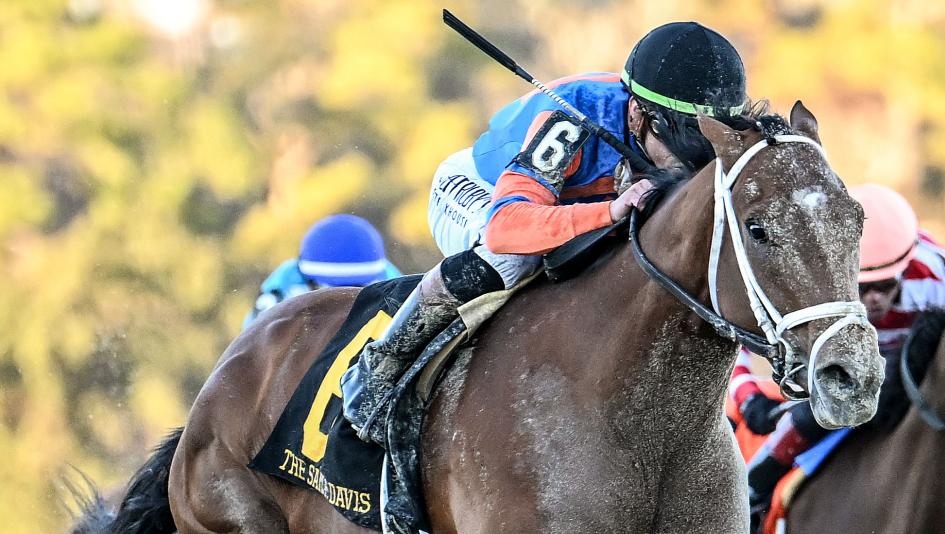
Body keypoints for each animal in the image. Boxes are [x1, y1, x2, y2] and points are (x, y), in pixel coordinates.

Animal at [76, 102, 884, 534]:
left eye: (855, 219)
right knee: (481, 262)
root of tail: (223, 378)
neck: (640, 419)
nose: (854, 375)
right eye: (758, 227)